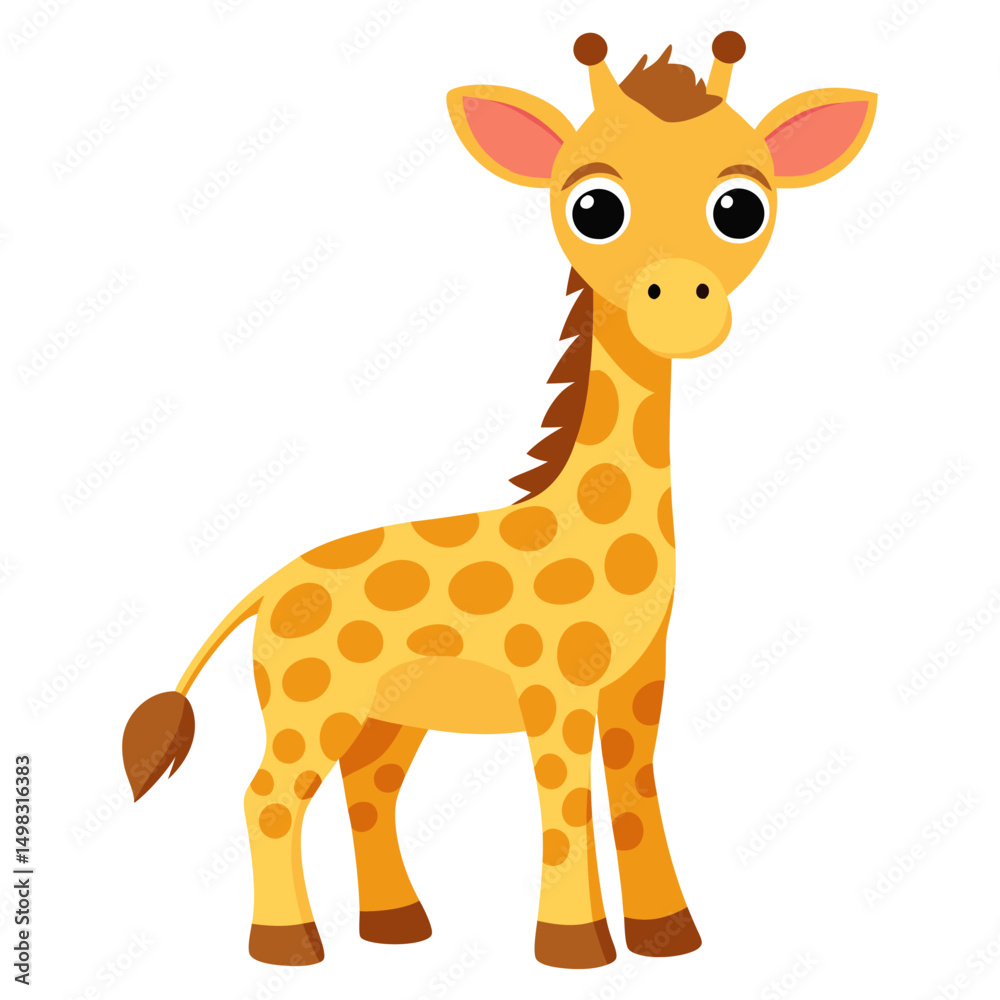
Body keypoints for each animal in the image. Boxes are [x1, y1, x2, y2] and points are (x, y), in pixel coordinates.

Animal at [123, 31, 876, 970]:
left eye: (740, 207)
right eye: (594, 208)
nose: (679, 303)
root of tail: (267, 587)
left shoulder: (640, 686)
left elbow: (635, 795)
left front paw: (668, 937)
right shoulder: (554, 688)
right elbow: (566, 801)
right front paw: (575, 946)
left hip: (389, 715)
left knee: (368, 788)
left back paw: (398, 927)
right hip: (312, 700)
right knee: (268, 793)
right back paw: (290, 946)